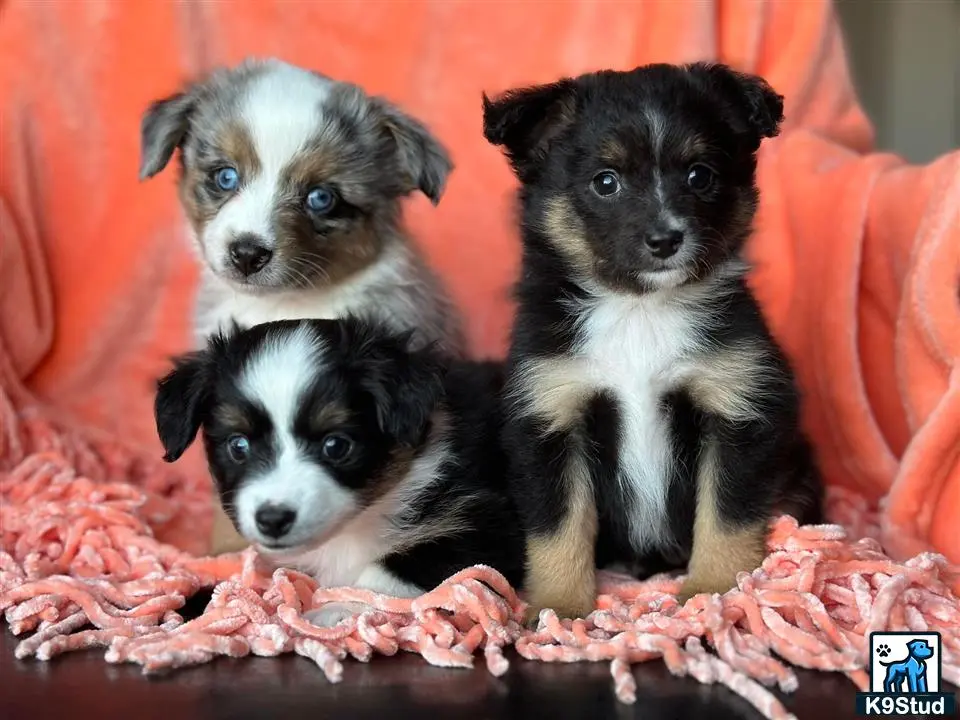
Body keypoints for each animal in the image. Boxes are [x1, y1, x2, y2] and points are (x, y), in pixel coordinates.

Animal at [153, 318, 524, 620]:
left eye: (335, 445)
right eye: (238, 445)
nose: (272, 519)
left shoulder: (487, 527)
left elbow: (386, 571)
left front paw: (335, 609)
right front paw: (199, 602)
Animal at [484, 64, 820, 620]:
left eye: (700, 175)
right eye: (606, 182)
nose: (666, 239)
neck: (639, 312)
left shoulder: (738, 410)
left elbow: (726, 513)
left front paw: (711, 590)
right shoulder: (550, 416)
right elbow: (559, 528)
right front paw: (558, 608)